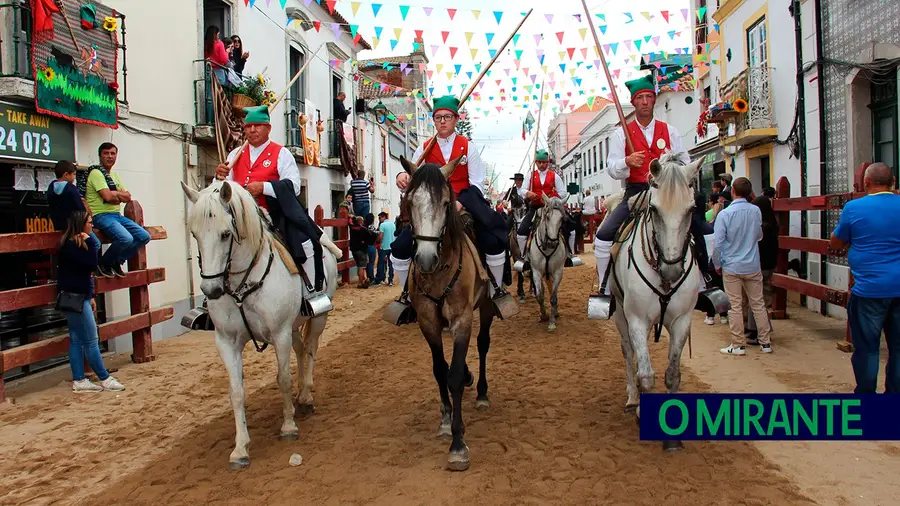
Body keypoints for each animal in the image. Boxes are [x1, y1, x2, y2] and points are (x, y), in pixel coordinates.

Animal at [180, 179, 342, 470]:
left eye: (225, 234)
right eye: (195, 234)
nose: (211, 290)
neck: (242, 283)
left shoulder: (279, 334)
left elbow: (283, 379)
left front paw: (288, 426)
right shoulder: (227, 342)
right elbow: (236, 392)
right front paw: (240, 448)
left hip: (317, 317)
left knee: (310, 349)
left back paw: (306, 395)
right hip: (294, 325)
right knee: (301, 350)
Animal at [400, 156, 500, 472]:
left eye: (446, 203)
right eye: (410, 201)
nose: (425, 258)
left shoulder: (462, 319)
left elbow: (453, 374)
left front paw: (458, 444)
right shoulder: (428, 322)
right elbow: (439, 369)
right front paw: (445, 420)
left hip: (487, 307)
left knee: (483, 345)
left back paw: (481, 392)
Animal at [524, 195, 568, 332]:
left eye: (561, 219)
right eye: (547, 217)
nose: (552, 243)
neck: (546, 247)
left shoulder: (558, 271)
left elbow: (553, 297)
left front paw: (552, 322)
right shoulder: (536, 272)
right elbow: (539, 295)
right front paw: (543, 315)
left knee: (550, 288)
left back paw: (556, 312)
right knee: (543, 290)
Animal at [604, 153, 704, 450]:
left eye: (691, 209)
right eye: (655, 210)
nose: (672, 269)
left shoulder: (682, 321)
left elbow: (672, 374)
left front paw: (673, 439)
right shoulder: (636, 319)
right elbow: (646, 375)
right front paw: (640, 409)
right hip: (621, 316)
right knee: (629, 353)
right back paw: (632, 398)